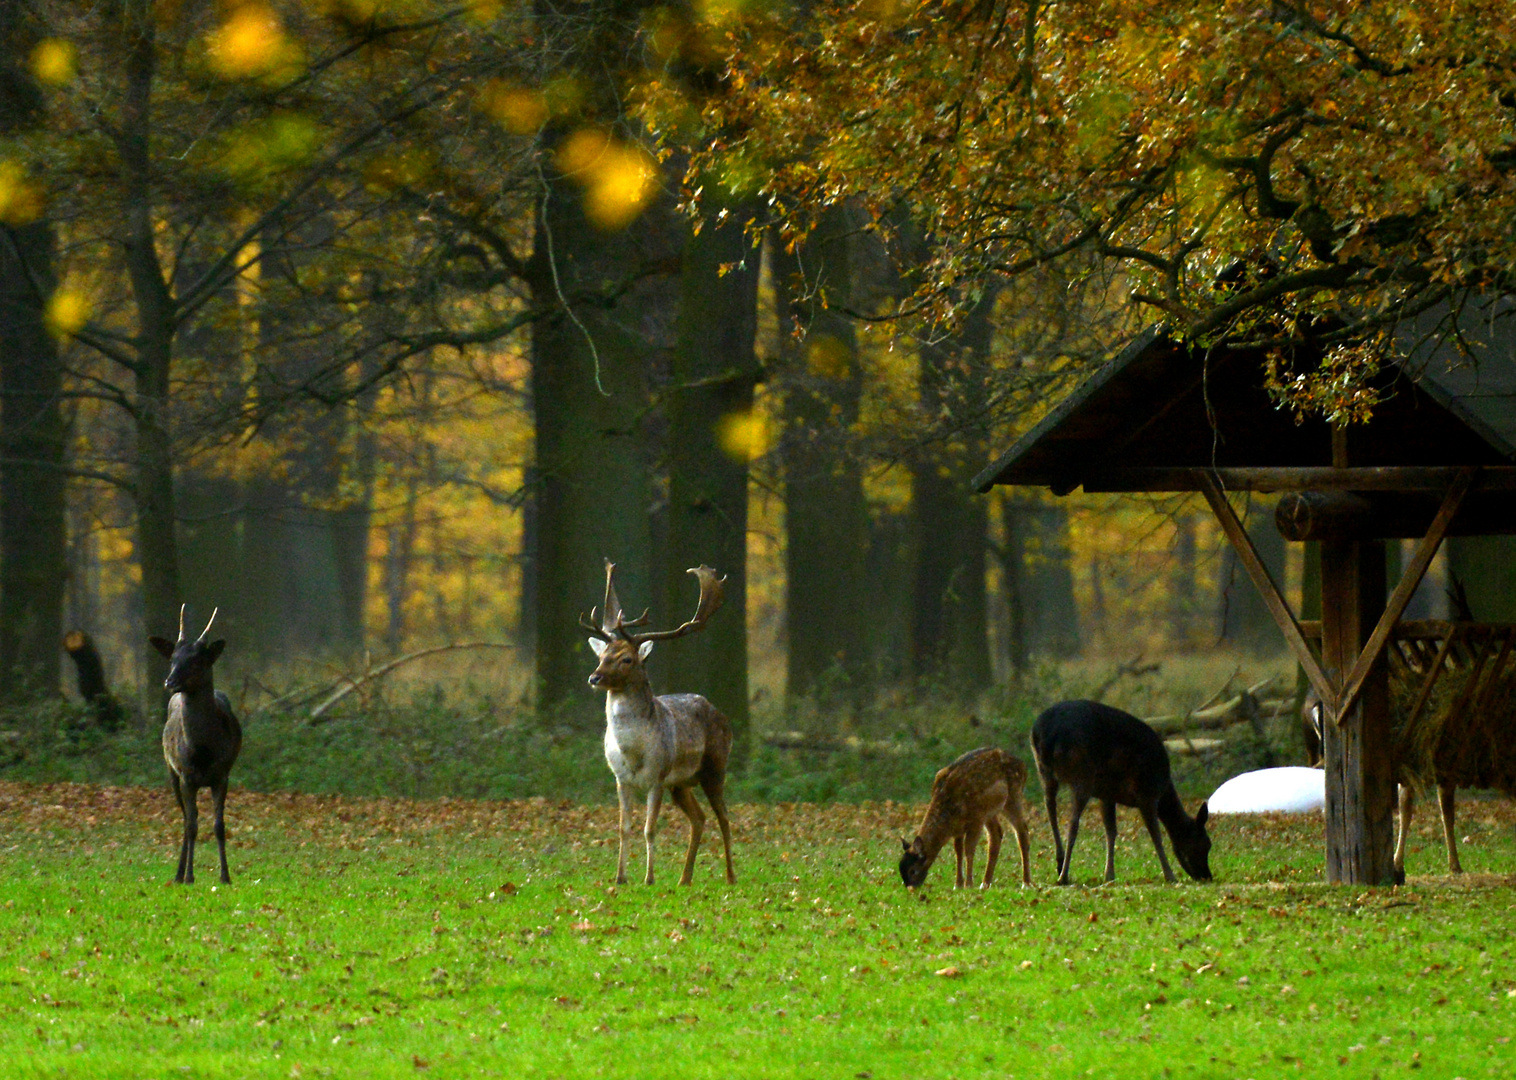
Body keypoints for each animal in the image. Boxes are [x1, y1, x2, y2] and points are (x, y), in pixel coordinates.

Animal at [150, 603, 242, 891]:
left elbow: (219, 825)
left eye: (198, 660)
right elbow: (192, 826)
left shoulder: (222, 774)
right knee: (184, 818)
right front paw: (189, 876)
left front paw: (225, 876)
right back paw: (179, 874)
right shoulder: (186, 775)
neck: (202, 751)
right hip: (170, 771)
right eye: (172, 659)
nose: (170, 682)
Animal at [582, 558, 736, 885]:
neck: (633, 752)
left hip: (715, 767)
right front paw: (620, 877)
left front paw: (649, 878)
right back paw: (684, 879)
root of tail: (720, 713)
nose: (594, 677)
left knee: (724, 816)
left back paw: (731, 877)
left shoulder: (657, 777)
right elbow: (623, 828)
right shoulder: (620, 779)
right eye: (602, 655)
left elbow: (649, 829)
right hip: (681, 784)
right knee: (700, 818)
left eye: (627, 659)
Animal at [897, 746, 1030, 891]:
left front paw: (968, 884)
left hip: (1012, 796)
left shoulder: (976, 819)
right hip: (990, 811)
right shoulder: (958, 827)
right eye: (901, 870)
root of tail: (1023, 765)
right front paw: (958, 884)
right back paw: (985, 884)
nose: (910, 888)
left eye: (913, 870)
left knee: (1022, 830)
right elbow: (958, 850)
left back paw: (1026, 883)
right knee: (996, 834)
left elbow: (969, 849)